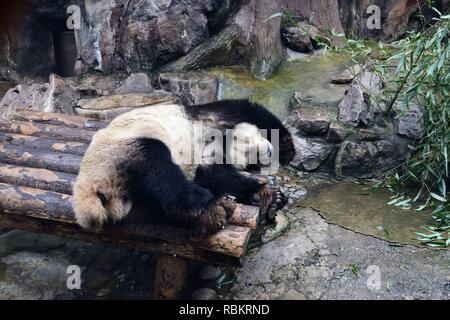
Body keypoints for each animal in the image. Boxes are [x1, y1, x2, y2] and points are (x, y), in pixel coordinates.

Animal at [72, 99, 296, 236]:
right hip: (125, 148)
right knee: (160, 171)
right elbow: (246, 110)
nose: (268, 151)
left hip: (131, 204)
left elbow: (216, 175)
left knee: (158, 207)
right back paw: (209, 204)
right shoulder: (209, 118)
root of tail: (90, 190)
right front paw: (285, 148)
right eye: (251, 151)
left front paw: (269, 195)